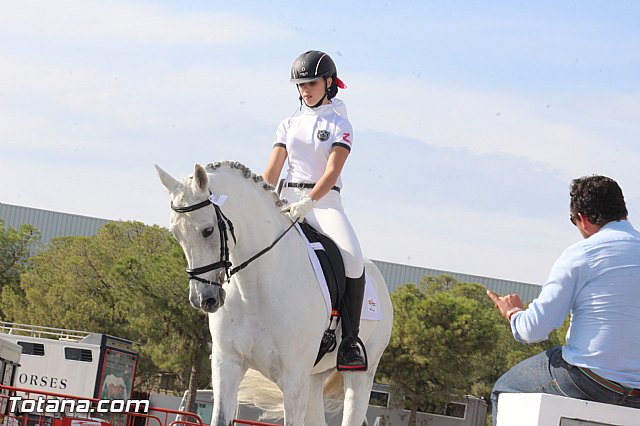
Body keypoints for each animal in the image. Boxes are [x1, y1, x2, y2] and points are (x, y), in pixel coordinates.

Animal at [155, 161, 393, 426]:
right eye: (175, 234)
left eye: (207, 230)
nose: (203, 299)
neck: (253, 290)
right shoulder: (227, 363)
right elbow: (219, 418)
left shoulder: (293, 378)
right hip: (314, 377)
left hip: (360, 374)